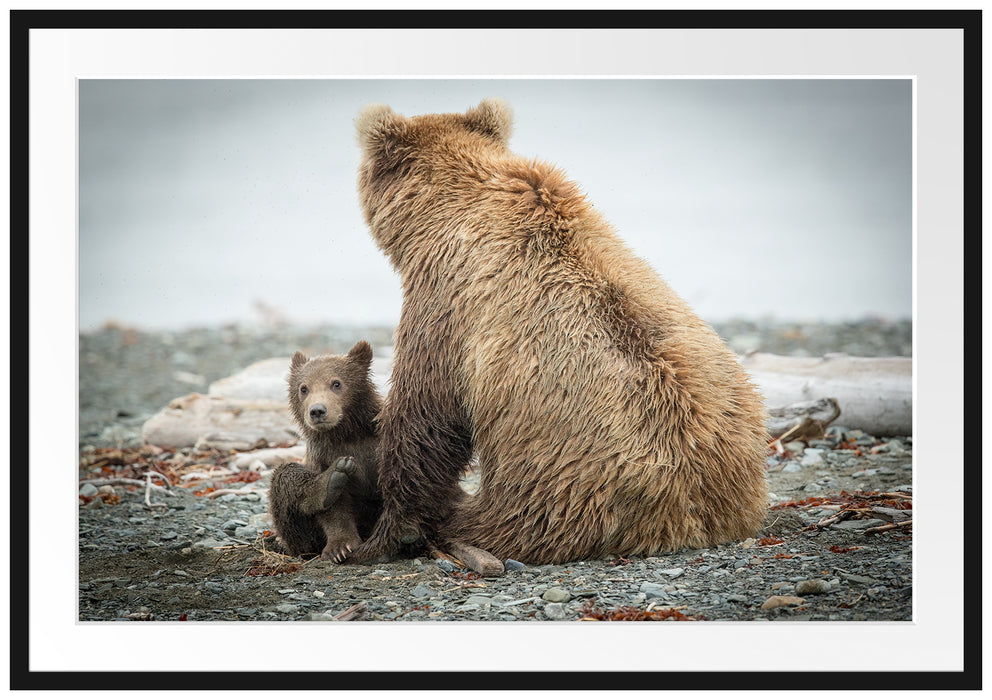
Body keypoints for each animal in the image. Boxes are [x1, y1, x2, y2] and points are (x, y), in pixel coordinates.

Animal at [268, 341, 383, 562]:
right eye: (304, 388)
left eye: (336, 383)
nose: (317, 411)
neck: (346, 433)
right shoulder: (323, 456)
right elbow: (335, 511)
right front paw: (340, 548)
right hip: (301, 537)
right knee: (285, 475)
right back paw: (330, 481)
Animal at [349, 99, 769, 565]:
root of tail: (694, 517)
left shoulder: (446, 300)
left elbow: (425, 415)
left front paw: (384, 534)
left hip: (560, 486)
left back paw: (455, 525)